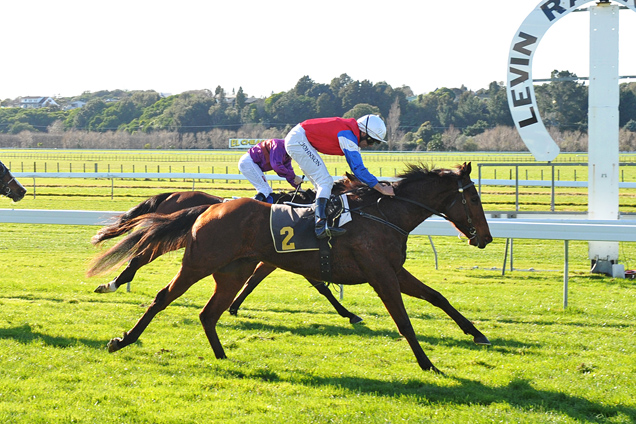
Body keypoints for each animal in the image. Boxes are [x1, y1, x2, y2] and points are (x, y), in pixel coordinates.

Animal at [92, 187, 366, 322]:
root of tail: (171, 194)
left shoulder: (272, 259)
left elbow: (252, 281)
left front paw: (233, 306)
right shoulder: (278, 257)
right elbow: (321, 287)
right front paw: (349, 314)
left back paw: (111, 284)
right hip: (170, 240)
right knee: (138, 259)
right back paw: (111, 284)